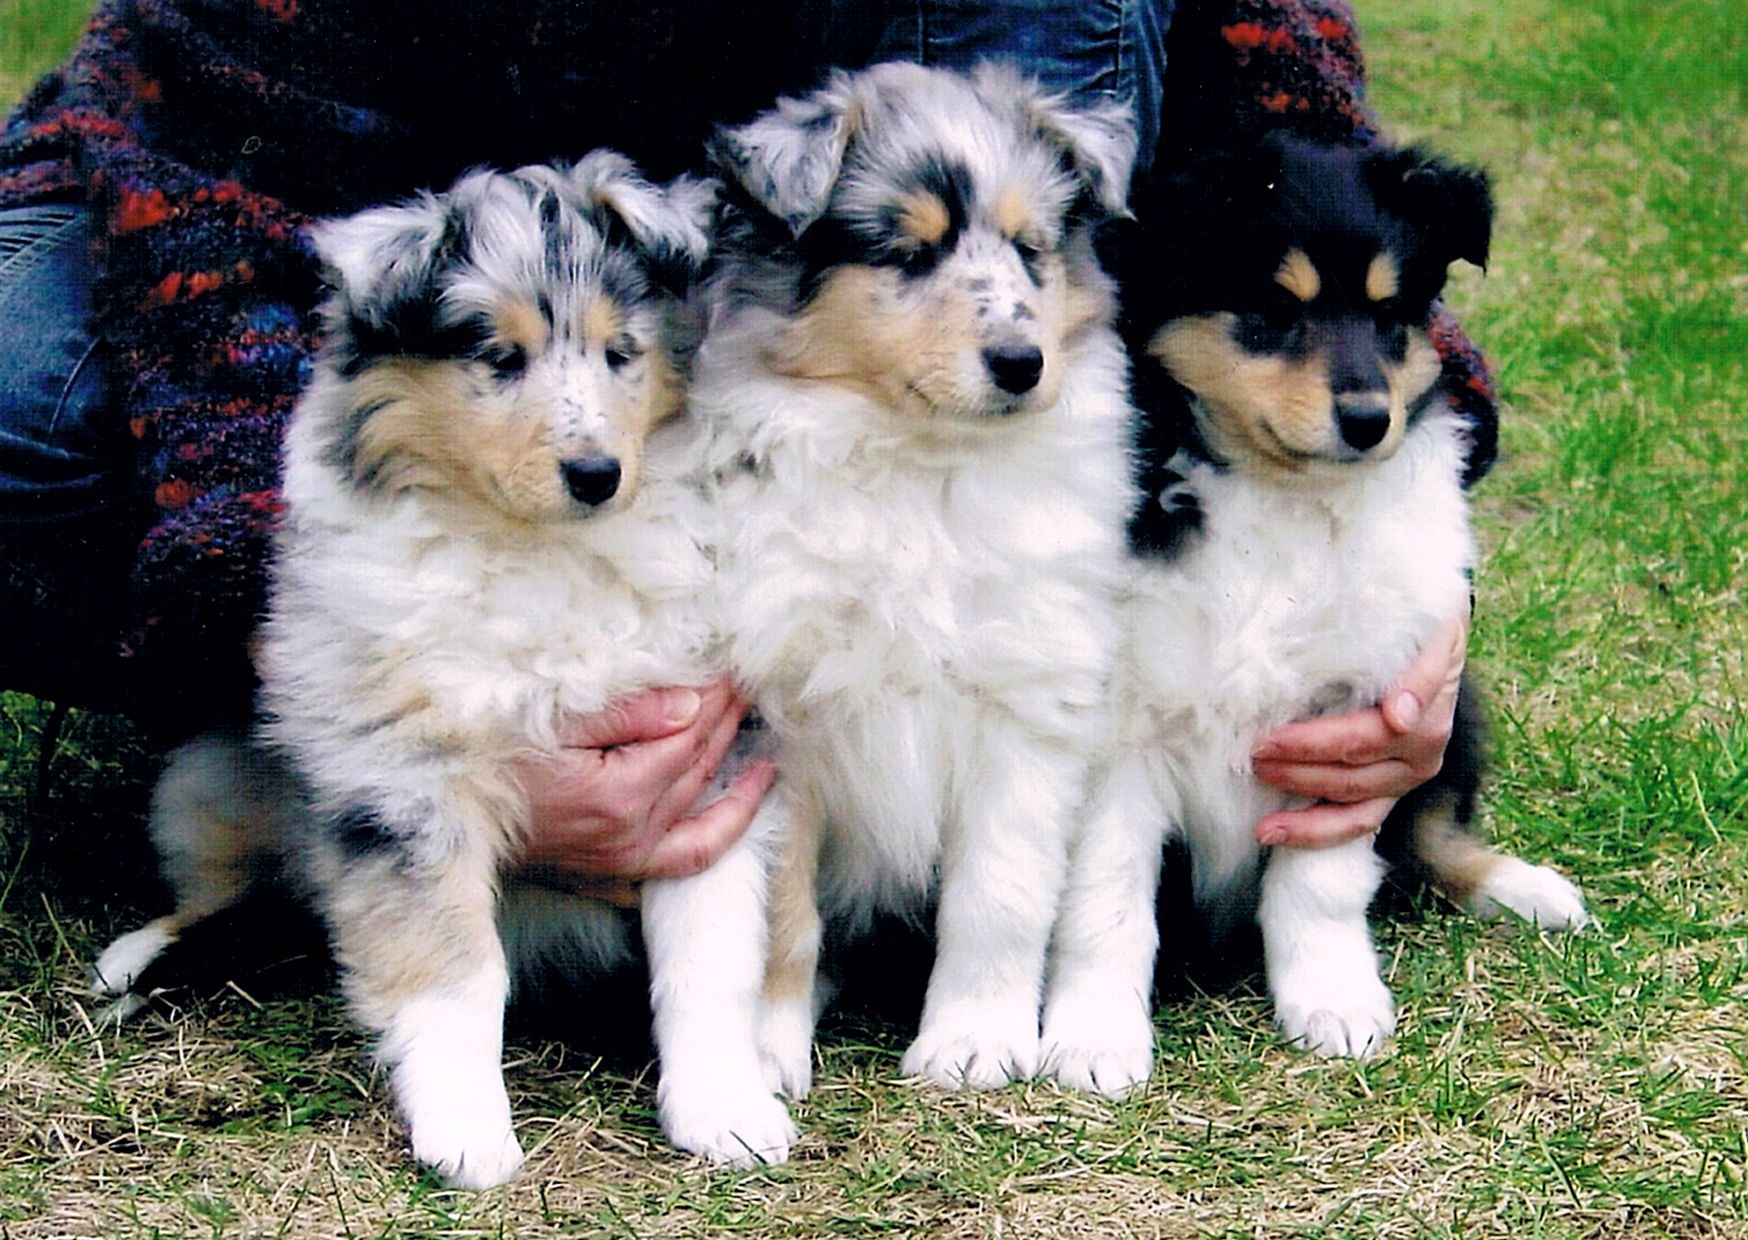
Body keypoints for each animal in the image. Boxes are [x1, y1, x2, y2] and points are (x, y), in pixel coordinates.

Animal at [91, 154, 802, 1184]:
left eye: (621, 353)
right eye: (498, 359)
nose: (597, 475)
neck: (542, 546)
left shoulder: (709, 761)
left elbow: (707, 957)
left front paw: (728, 1112)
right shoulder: (404, 782)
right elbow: (454, 973)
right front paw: (469, 1134)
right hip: (207, 777)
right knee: (230, 892)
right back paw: (136, 955)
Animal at [692, 62, 1140, 1099]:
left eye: (1031, 249)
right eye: (908, 253)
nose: (1022, 364)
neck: (921, 470)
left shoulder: (1029, 700)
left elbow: (999, 894)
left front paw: (973, 1042)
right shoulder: (782, 721)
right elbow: (785, 913)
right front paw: (768, 1054)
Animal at [1043, 135, 1590, 1091]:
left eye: (1391, 314)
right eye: (1271, 308)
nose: (1369, 419)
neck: (1283, 500)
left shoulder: (1352, 722)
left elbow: (1321, 884)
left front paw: (1334, 1005)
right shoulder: (1118, 733)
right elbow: (1105, 898)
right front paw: (1094, 1039)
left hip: (1454, 710)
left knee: (1431, 832)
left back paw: (1522, 888)